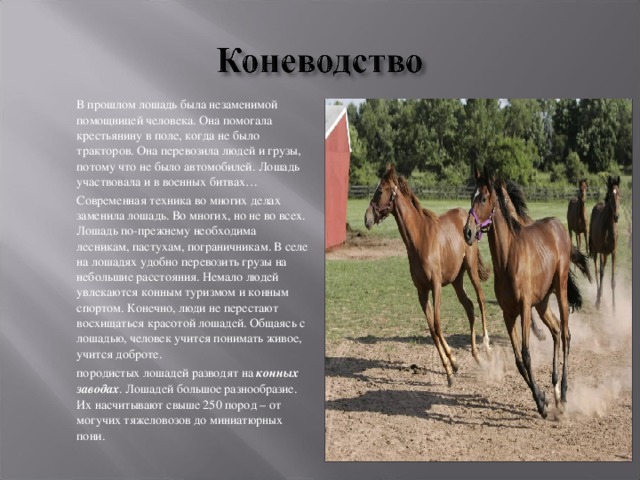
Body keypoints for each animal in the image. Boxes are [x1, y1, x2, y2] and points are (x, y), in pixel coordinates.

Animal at [364, 164, 492, 387]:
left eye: (380, 191)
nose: (367, 219)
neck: (420, 238)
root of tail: (469, 221)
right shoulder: (421, 291)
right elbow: (432, 329)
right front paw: (453, 364)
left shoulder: (436, 286)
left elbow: (438, 325)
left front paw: (450, 372)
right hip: (457, 280)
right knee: (469, 307)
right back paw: (475, 355)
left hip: (471, 269)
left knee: (481, 301)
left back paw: (487, 350)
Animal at [463, 167, 591, 418]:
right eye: (471, 196)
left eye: (483, 198)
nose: (468, 232)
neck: (507, 258)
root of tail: (559, 227)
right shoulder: (508, 314)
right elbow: (518, 361)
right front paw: (543, 398)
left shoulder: (523, 308)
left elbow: (526, 354)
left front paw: (542, 405)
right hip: (542, 303)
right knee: (555, 330)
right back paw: (555, 390)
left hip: (560, 290)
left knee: (566, 334)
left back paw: (564, 393)